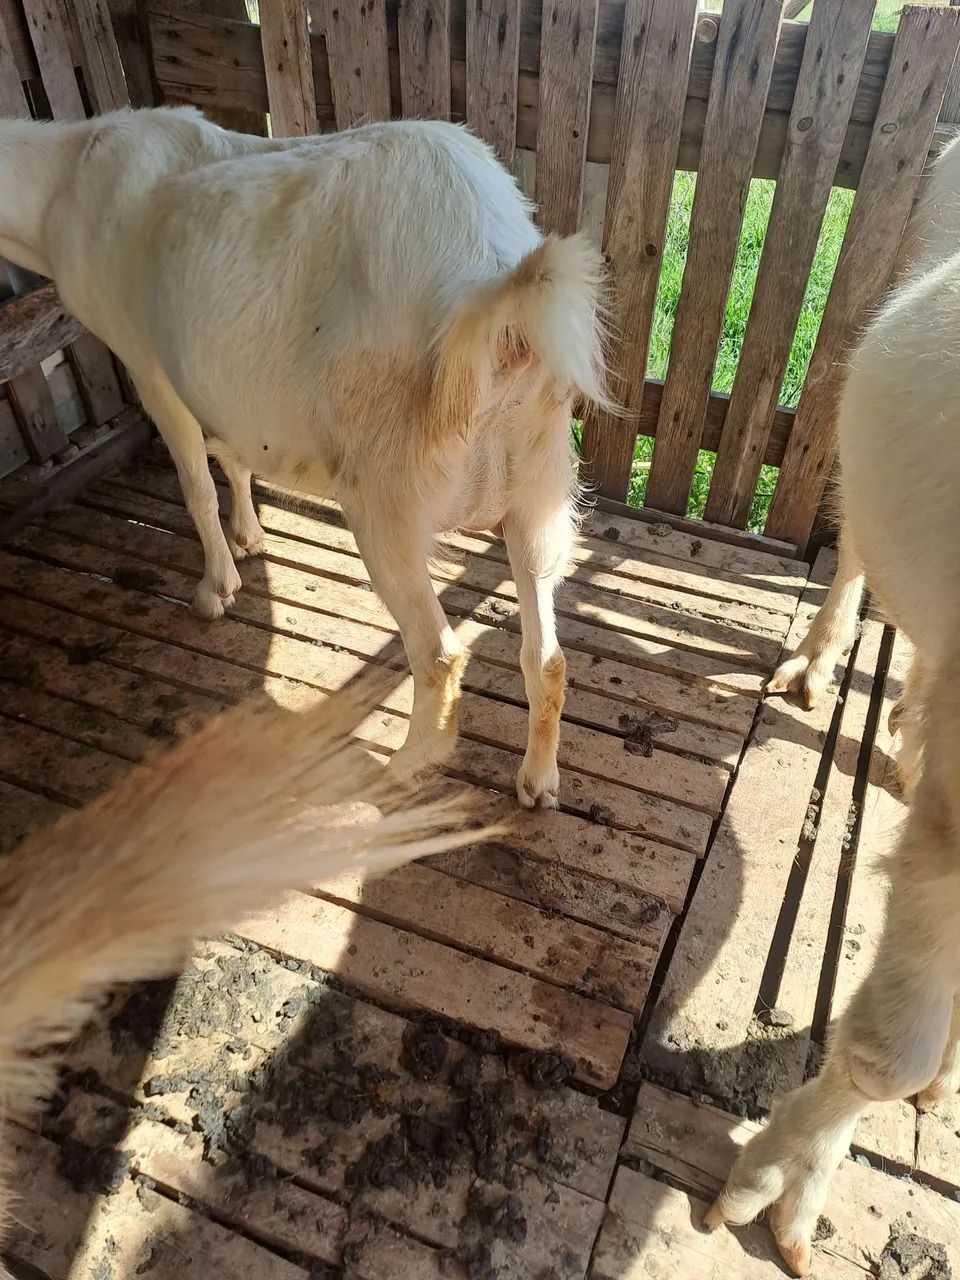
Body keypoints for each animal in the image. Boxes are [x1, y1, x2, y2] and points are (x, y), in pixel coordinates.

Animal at [0, 107, 610, 808]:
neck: (68, 177)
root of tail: (494, 280)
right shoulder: (219, 386)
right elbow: (231, 458)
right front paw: (249, 536)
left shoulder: (148, 364)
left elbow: (195, 485)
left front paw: (216, 588)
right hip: (537, 486)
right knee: (548, 655)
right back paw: (537, 781)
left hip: (387, 495)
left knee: (437, 655)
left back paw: (397, 771)